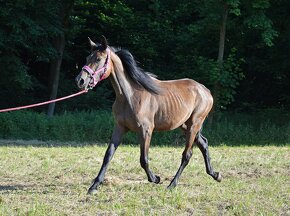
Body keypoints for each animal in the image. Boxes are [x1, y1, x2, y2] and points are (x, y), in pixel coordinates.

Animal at [76, 36, 221, 195]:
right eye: (87, 57)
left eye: (98, 59)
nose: (80, 80)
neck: (130, 96)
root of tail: (205, 91)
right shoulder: (120, 127)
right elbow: (108, 155)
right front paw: (94, 186)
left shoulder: (146, 130)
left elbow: (143, 159)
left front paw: (155, 178)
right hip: (185, 125)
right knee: (203, 144)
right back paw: (215, 175)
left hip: (194, 125)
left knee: (187, 155)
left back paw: (172, 184)